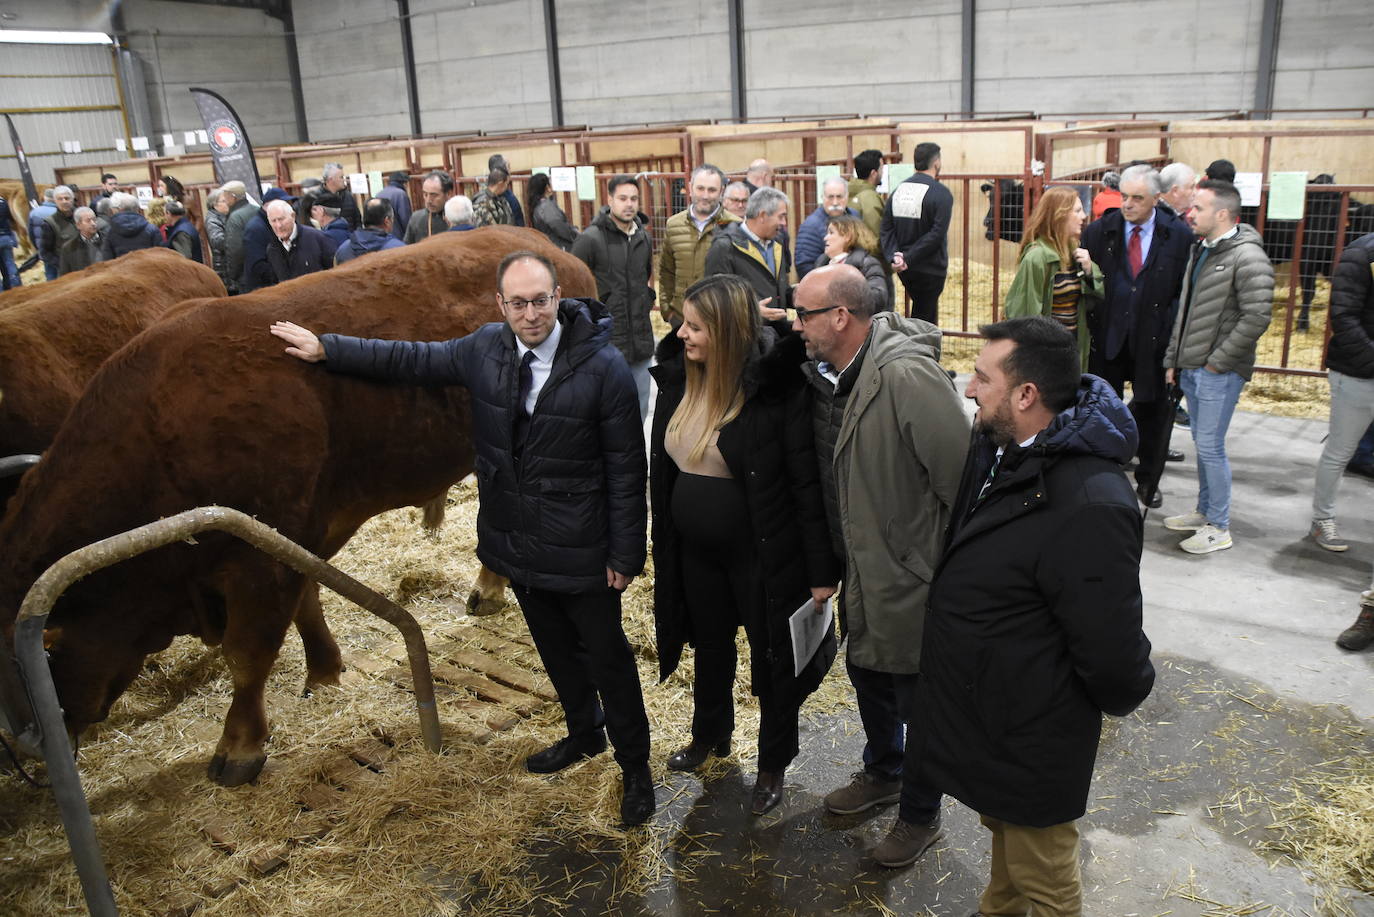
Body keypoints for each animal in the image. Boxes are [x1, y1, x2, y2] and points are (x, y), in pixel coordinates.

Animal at [0, 225, 596, 786]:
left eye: (44, 657)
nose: (29, 750)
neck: (159, 436)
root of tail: (537, 242)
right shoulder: (292, 538)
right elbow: (308, 602)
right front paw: (324, 670)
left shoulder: (260, 561)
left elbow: (248, 653)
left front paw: (239, 747)